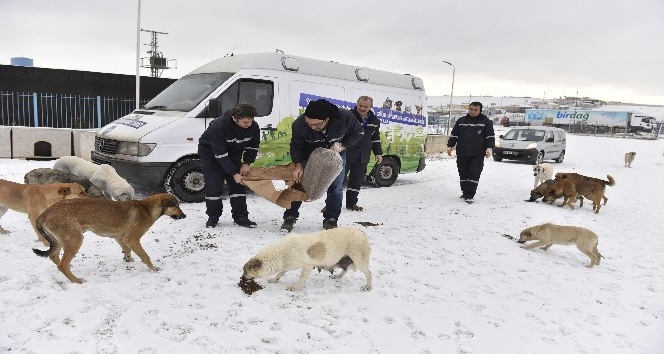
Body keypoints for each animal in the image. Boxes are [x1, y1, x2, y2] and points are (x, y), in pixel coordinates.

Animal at [32, 192, 185, 284]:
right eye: (177, 205)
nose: (184, 216)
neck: (147, 208)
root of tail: (44, 214)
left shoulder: (120, 238)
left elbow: (127, 250)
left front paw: (128, 259)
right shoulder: (133, 240)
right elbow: (145, 256)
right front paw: (154, 269)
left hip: (61, 240)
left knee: (54, 257)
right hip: (75, 239)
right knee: (62, 265)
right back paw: (76, 280)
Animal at [241, 225, 374, 292]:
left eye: (245, 271)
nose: (241, 279)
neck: (281, 253)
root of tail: (363, 233)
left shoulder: (307, 266)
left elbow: (301, 279)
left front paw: (294, 288)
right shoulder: (287, 265)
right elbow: (280, 273)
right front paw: (274, 279)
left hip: (359, 260)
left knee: (369, 273)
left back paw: (368, 286)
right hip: (344, 259)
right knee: (346, 269)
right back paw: (338, 276)